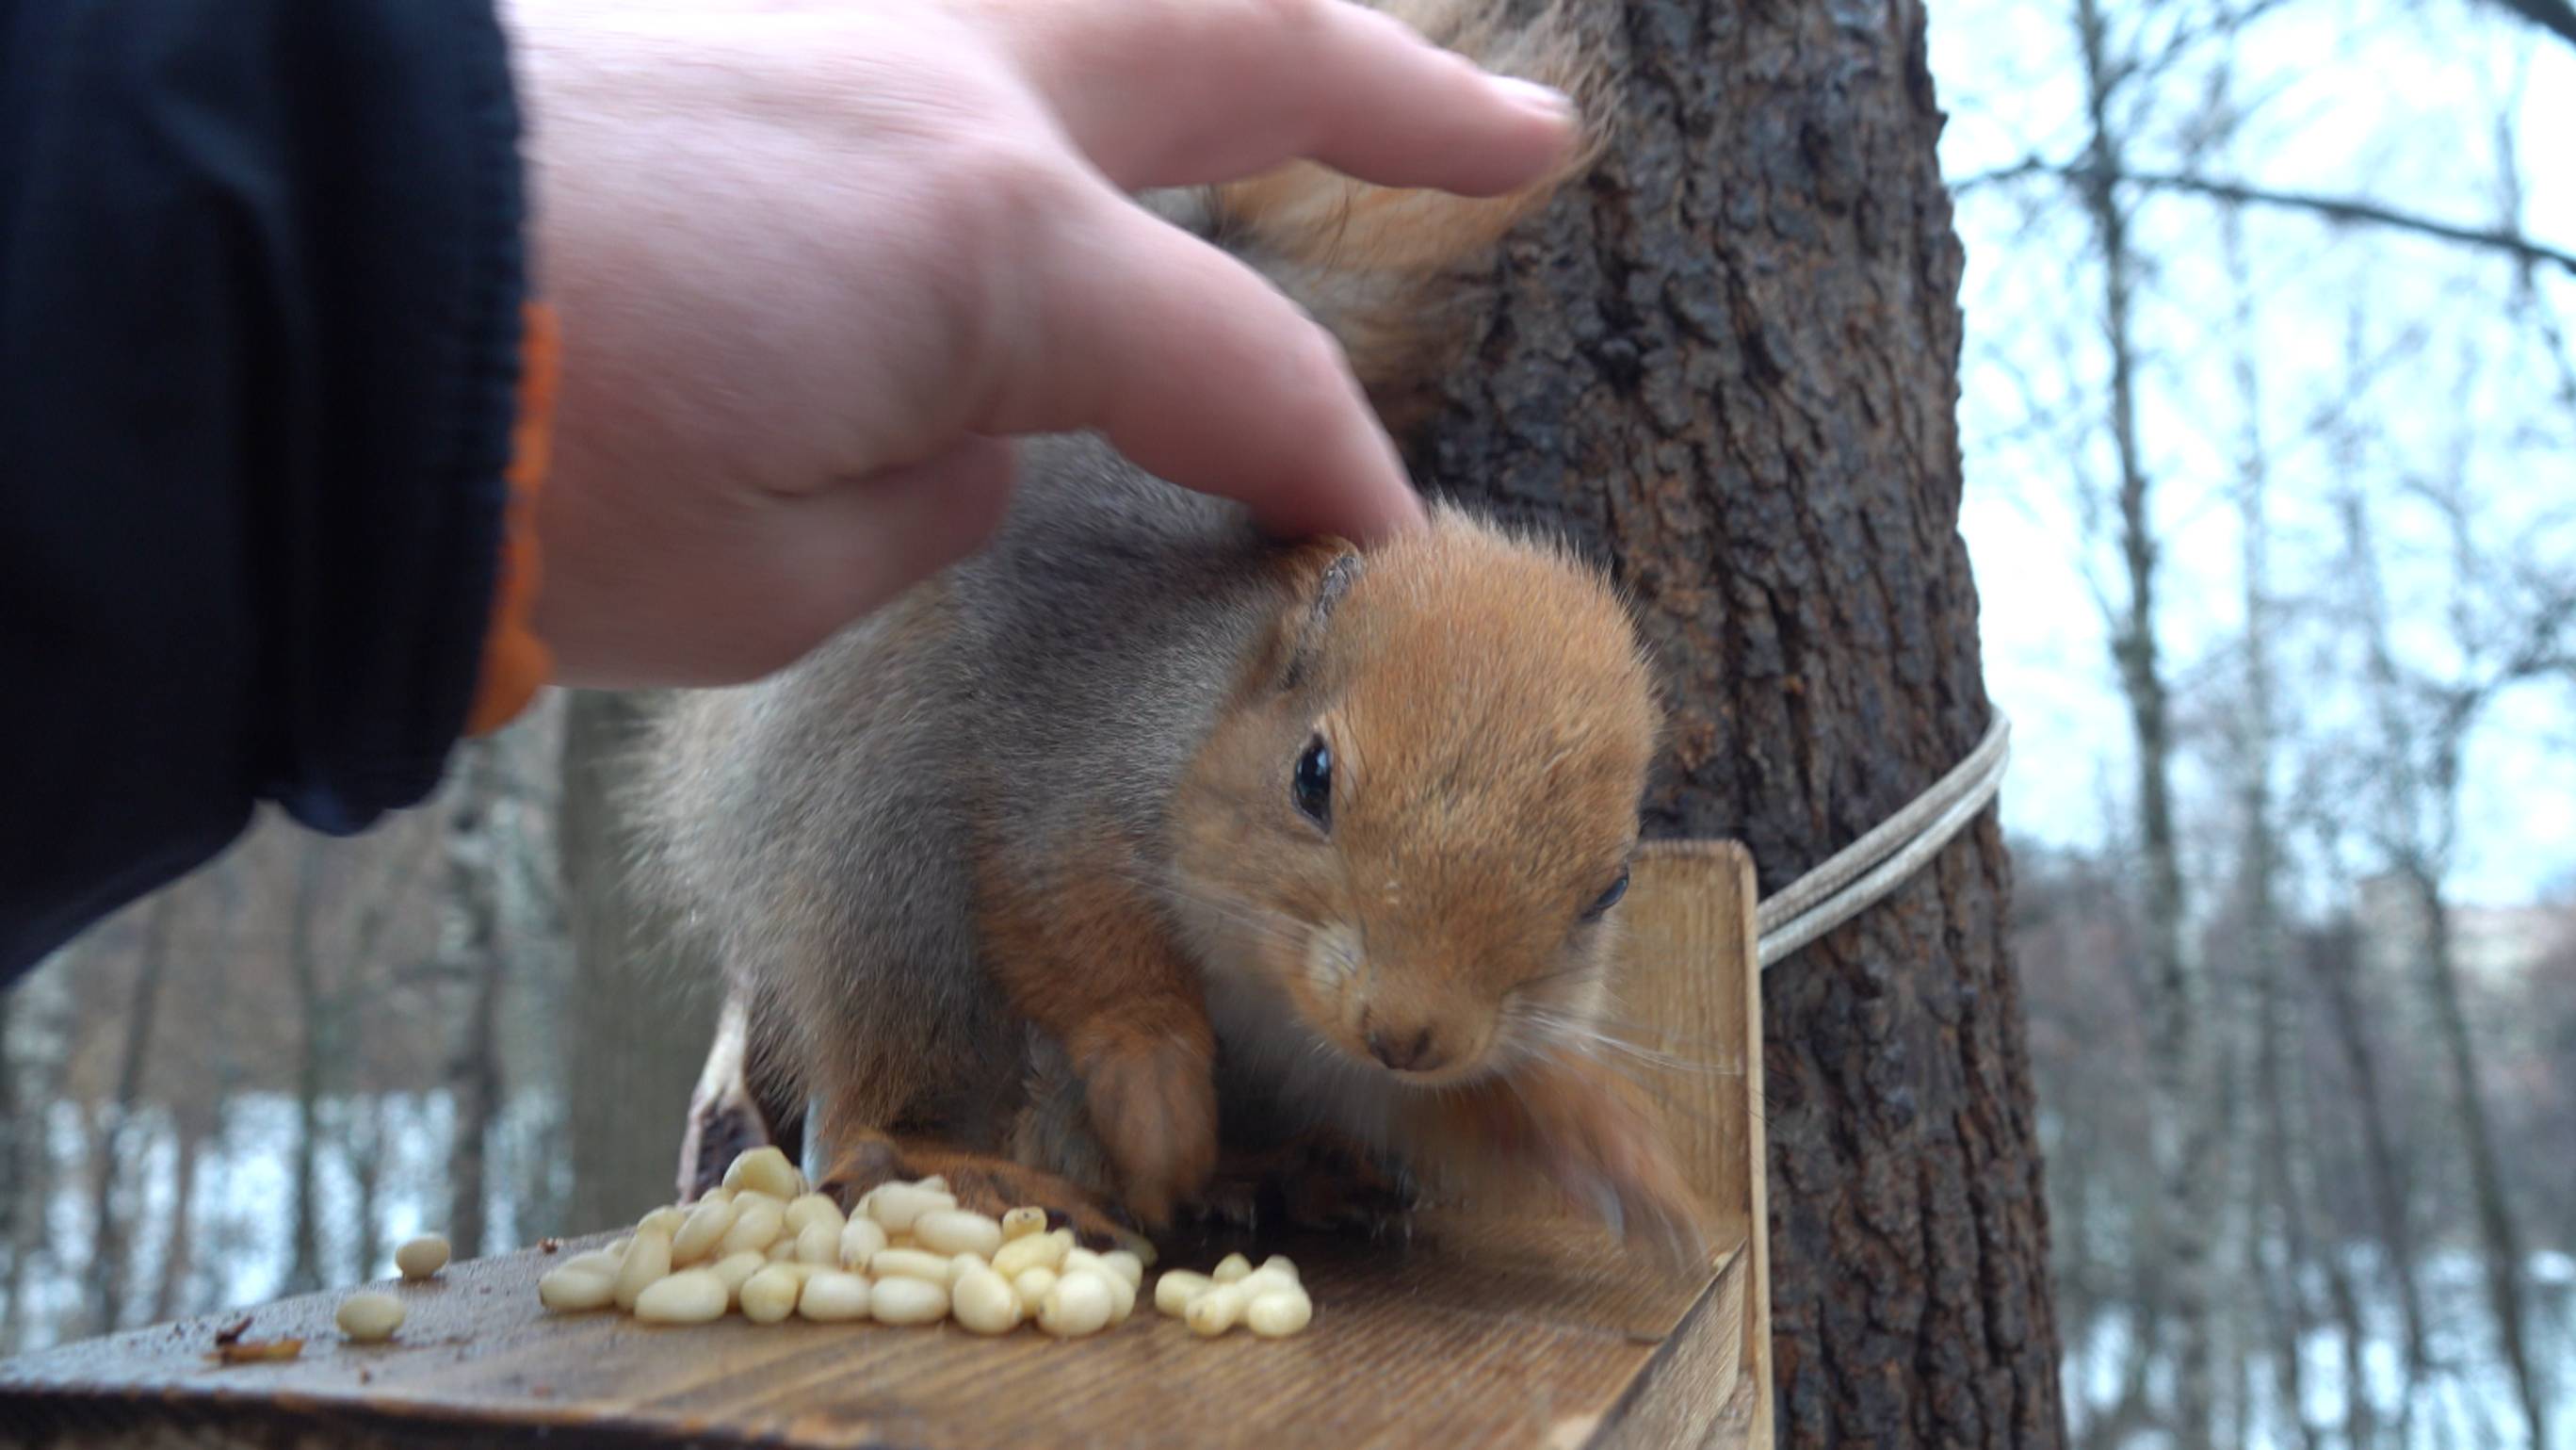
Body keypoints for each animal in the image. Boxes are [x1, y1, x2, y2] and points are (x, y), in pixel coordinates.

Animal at [628, 0, 1710, 1272]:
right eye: (1311, 775)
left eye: (1609, 888)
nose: (1407, 1030)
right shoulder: (1067, 763)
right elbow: (1072, 929)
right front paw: (1154, 1100)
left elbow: (1473, 1103)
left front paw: (1607, 1140)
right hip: (881, 866)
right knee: (870, 1099)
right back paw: (973, 1164)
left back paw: (1279, 1168)